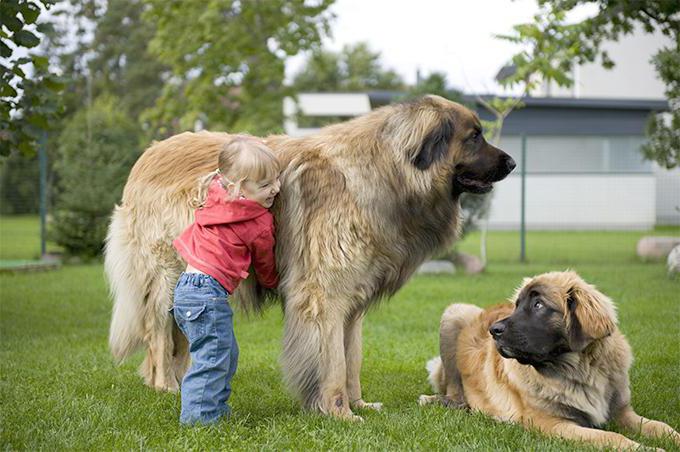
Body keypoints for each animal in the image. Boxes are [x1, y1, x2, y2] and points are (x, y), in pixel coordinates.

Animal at [105, 95, 516, 420]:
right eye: (474, 135)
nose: (512, 163)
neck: (385, 171)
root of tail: (149, 153)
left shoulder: (352, 303)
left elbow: (351, 359)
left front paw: (358, 404)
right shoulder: (323, 297)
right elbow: (331, 361)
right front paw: (338, 412)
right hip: (168, 275)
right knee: (159, 333)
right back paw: (166, 385)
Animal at [420, 270, 680, 450]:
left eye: (538, 305)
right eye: (517, 306)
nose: (493, 330)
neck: (580, 370)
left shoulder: (622, 412)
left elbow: (661, 426)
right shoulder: (554, 423)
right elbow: (611, 436)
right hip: (455, 313)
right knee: (455, 392)